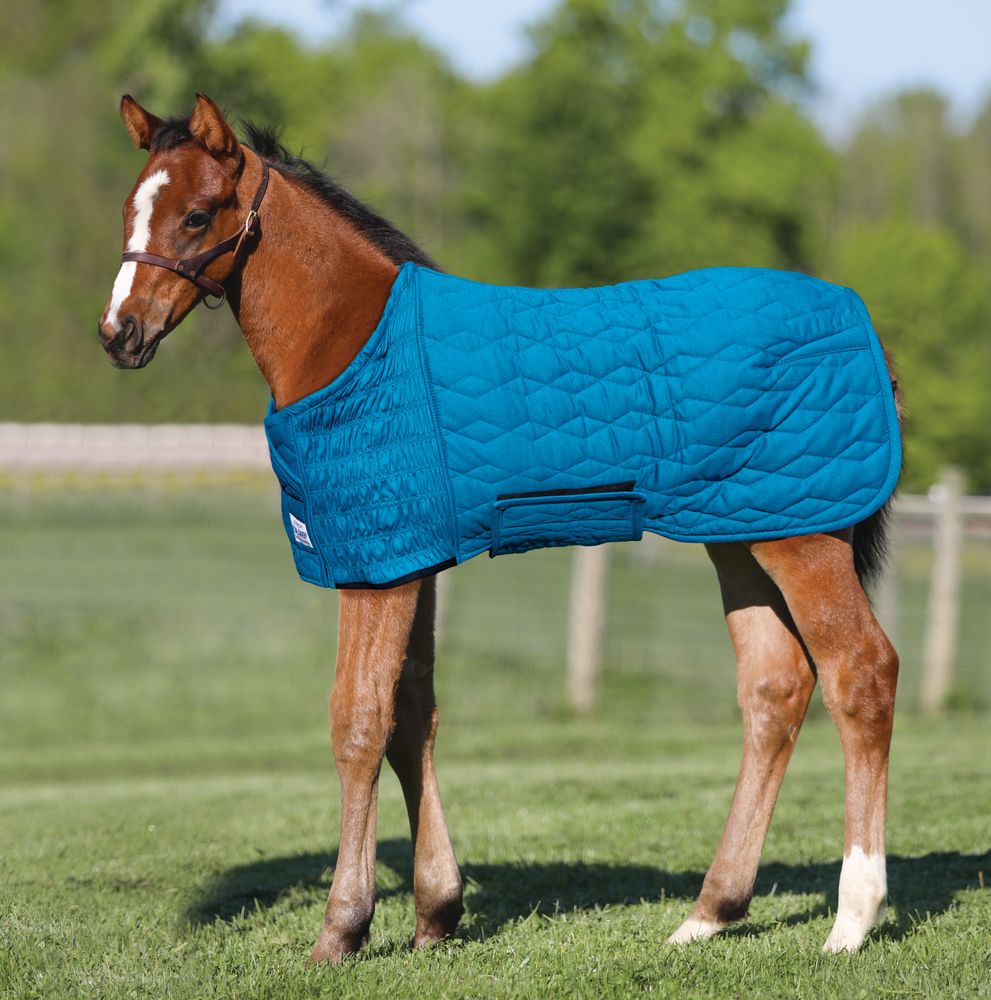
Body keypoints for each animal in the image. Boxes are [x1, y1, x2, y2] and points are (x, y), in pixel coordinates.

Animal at [98, 94, 901, 962]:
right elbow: (412, 714)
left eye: (197, 214)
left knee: (860, 673)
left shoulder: (374, 569)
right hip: (742, 532)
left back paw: (850, 920)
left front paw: (342, 929)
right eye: (130, 207)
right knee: (773, 689)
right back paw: (709, 912)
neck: (353, 343)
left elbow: (358, 720)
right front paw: (435, 911)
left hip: (803, 537)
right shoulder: (410, 561)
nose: (119, 333)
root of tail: (859, 322)